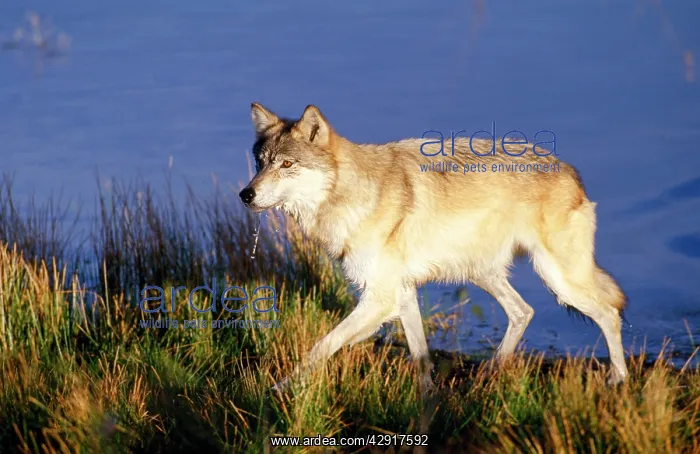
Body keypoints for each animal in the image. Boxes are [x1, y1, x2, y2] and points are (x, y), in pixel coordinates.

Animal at [239, 102, 629, 392]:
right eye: (260, 163)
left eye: (286, 164)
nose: (246, 194)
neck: (349, 194)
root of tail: (569, 170)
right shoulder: (403, 294)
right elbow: (421, 357)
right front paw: (427, 401)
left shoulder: (380, 299)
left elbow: (320, 346)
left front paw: (278, 390)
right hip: (483, 273)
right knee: (524, 311)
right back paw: (491, 372)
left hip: (560, 280)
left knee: (609, 313)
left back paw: (618, 380)